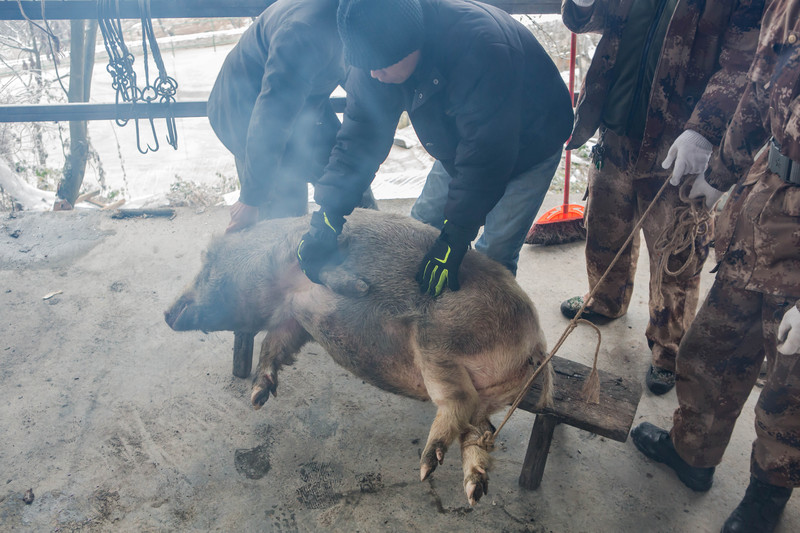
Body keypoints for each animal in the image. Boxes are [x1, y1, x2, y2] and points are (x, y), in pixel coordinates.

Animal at [162, 207, 552, 502]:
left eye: (207, 264)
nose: (166, 314)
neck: (280, 288)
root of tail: (537, 343)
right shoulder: (294, 318)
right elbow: (274, 344)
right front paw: (257, 399)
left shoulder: (296, 257)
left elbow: (321, 271)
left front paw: (360, 287)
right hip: (483, 395)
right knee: (480, 432)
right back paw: (473, 492)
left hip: (439, 339)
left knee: (457, 401)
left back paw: (425, 468)